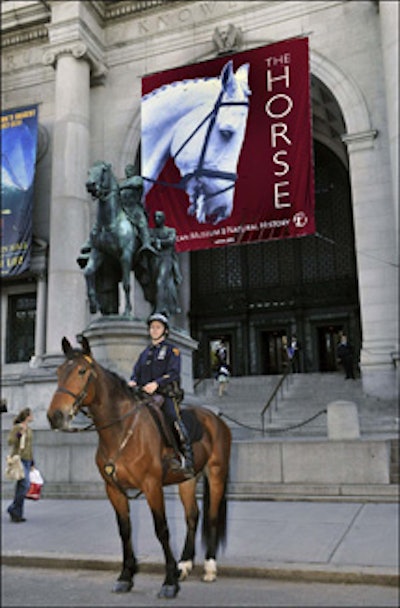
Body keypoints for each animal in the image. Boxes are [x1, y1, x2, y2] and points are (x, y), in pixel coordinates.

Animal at [46, 338, 231, 600]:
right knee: (193, 516)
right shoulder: (113, 489)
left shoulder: (152, 485)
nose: (55, 416)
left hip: (216, 474)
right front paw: (126, 576)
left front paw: (169, 582)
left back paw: (210, 566)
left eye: (81, 371)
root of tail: (216, 418)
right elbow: (125, 530)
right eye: (58, 371)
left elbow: (162, 530)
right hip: (187, 479)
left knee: (212, 515)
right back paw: (185, 563)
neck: (120, 430)